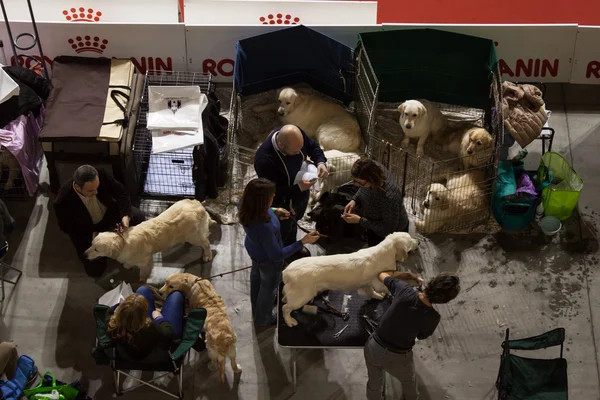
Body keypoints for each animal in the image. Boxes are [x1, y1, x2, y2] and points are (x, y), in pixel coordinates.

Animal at [84, 199, 216, 282]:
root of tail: (197, 204)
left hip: (194, 237)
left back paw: (207, 255)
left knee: (206, 243)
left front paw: (141, 281)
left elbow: (143, 273)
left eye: (96, 249)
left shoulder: (146, 261)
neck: (123, 242)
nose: (84, 254)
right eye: (91, 244)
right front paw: (128, 264)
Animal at [280, 231, 418, 328]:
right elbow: (384, 288)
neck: (385, 252)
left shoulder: (366, 284)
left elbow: (370, 291)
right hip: (302, 297)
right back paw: (290, 321)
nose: (419, 242)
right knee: (285, 308)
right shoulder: (378, 282)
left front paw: (377, 296)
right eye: (410, 241)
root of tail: (285, 272)